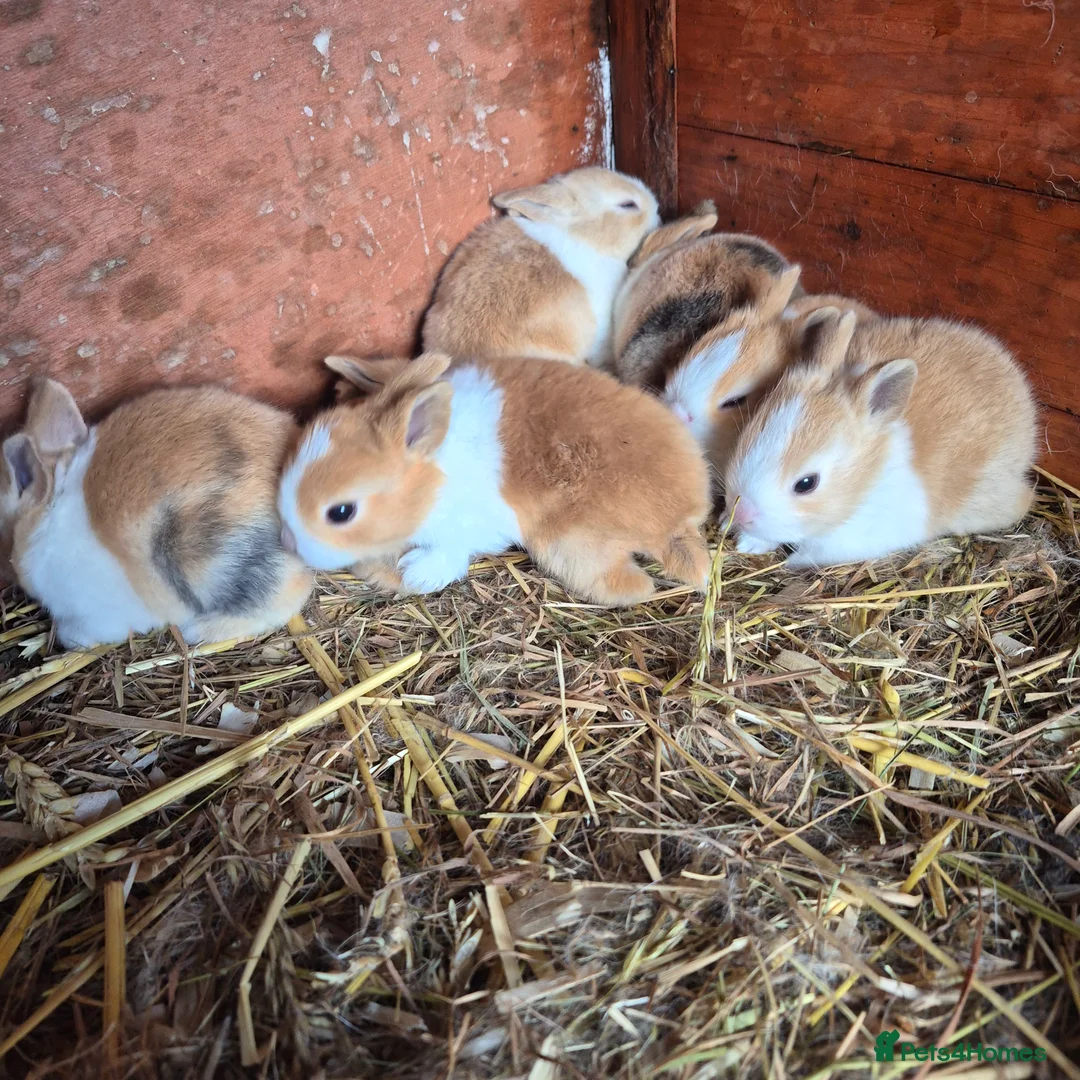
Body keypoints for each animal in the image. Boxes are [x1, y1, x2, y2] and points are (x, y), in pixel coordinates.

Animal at [278, 352, 711, 607]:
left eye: (341, 512)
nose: (287, 540)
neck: (431, 474)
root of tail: (678, 522)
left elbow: (451, 551)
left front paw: (417, 573)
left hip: (568, 544)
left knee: (628, 587)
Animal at [723, 312, 1037, 568]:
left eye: (806, 483)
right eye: (748, 435)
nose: (741, 513)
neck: (867, 479)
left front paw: (787, 563)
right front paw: (747, 543)